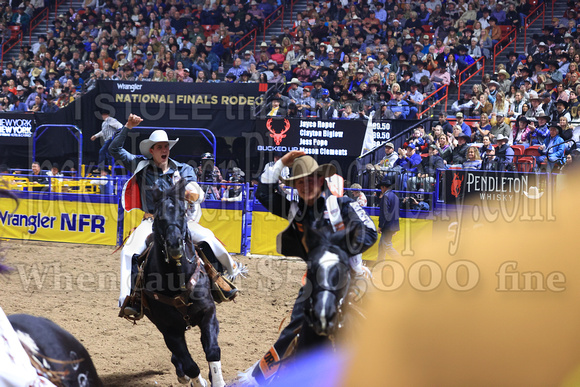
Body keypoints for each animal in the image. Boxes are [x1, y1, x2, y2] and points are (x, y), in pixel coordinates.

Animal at [139, 180, 223, 386]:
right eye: (158, 216)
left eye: (183, 213)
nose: (175, 244)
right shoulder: (169, 329)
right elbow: (190, 364)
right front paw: (197, 380)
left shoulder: (208, 312)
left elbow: (212, 350)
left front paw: (217, 380)